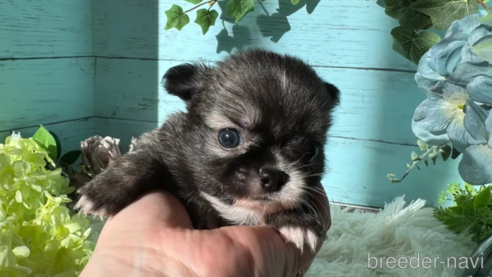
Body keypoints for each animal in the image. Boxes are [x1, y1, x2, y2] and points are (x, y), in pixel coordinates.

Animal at [75, 48, 340, 251]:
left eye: (312, 150)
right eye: (228, 137)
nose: (274, 176)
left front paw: (297, 221)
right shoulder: (165, 141)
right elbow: (142, 158)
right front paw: (103, 191)